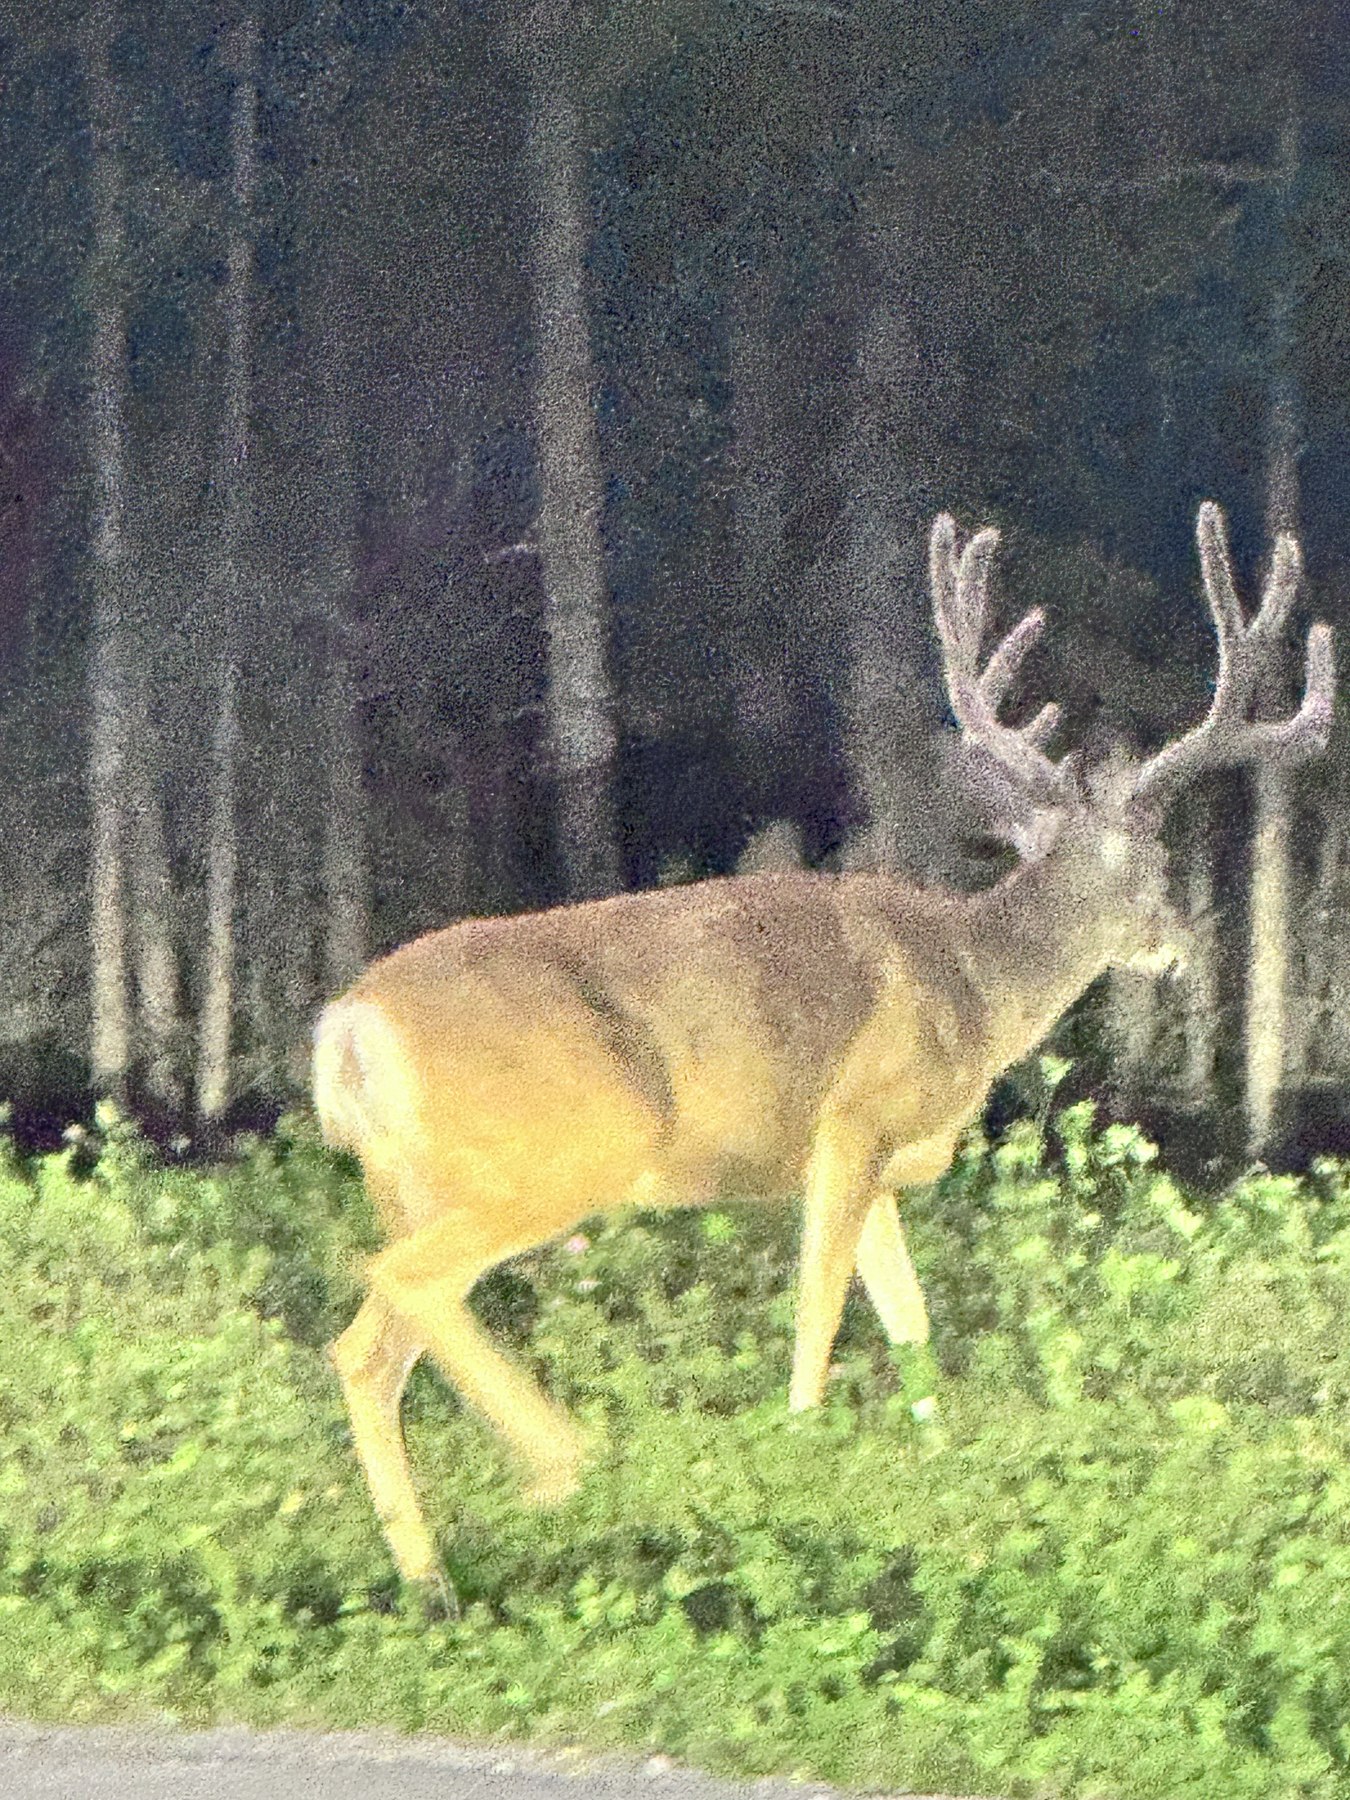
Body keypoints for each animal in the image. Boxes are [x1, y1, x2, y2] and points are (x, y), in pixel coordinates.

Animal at [313, 501, 1334, 1599]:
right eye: (1156, 862)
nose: (1179, 944)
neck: (977, 980)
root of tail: (348, 1024)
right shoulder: (853, 1122)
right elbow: (820, 1313)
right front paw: (802, 1465)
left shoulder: (879, 1168)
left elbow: (912, 1326)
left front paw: (942, 1481)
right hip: (565, 1152)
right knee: (397, 1286)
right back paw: (562, 1466)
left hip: (414, 1178)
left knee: (370, 1347)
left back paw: (430, 1578)